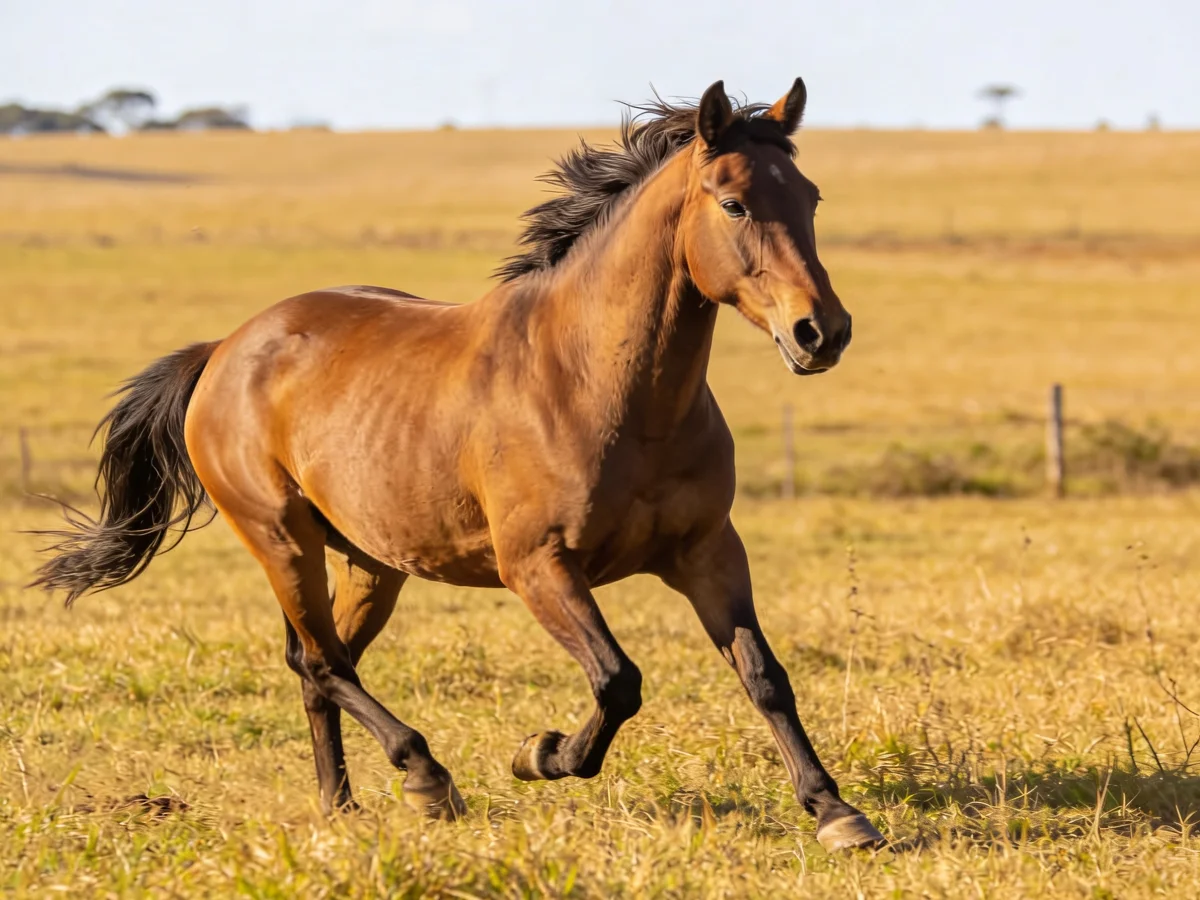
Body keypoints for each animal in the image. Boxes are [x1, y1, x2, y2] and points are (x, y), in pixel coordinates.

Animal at [33, 78, 883, 852]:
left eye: (809, 197)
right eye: (733, 203)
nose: (822, 332)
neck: (600, 385)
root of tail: (226, 349)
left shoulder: (708, 552)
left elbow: (764, 677)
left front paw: (837, 812)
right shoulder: (537, 566)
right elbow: (618, 680)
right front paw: (541, 755)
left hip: (372, 563)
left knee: (319, 664)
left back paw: (341, 805)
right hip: (282, 540)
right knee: (322, 660)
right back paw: (426, 778)